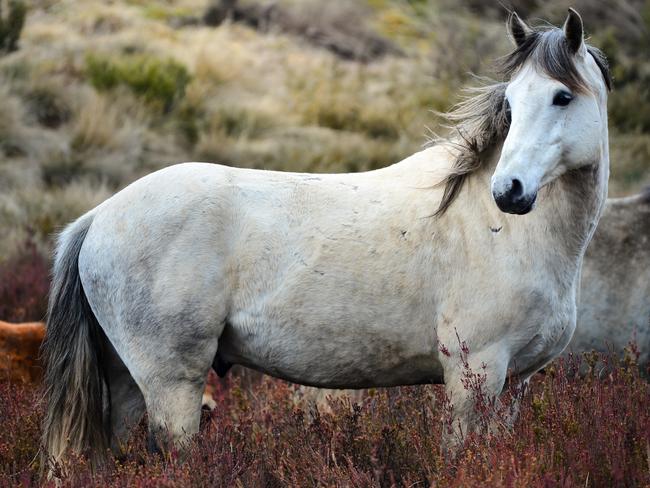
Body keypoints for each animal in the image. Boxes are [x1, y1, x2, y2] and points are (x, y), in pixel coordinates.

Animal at [40, 9, 608, 468]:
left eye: (561, 96)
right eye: (511, 101)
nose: (509, 191)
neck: (501, 231)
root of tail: (97, 218)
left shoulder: (513, 384)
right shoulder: (475, 375)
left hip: (126, 380)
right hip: (171, 385)